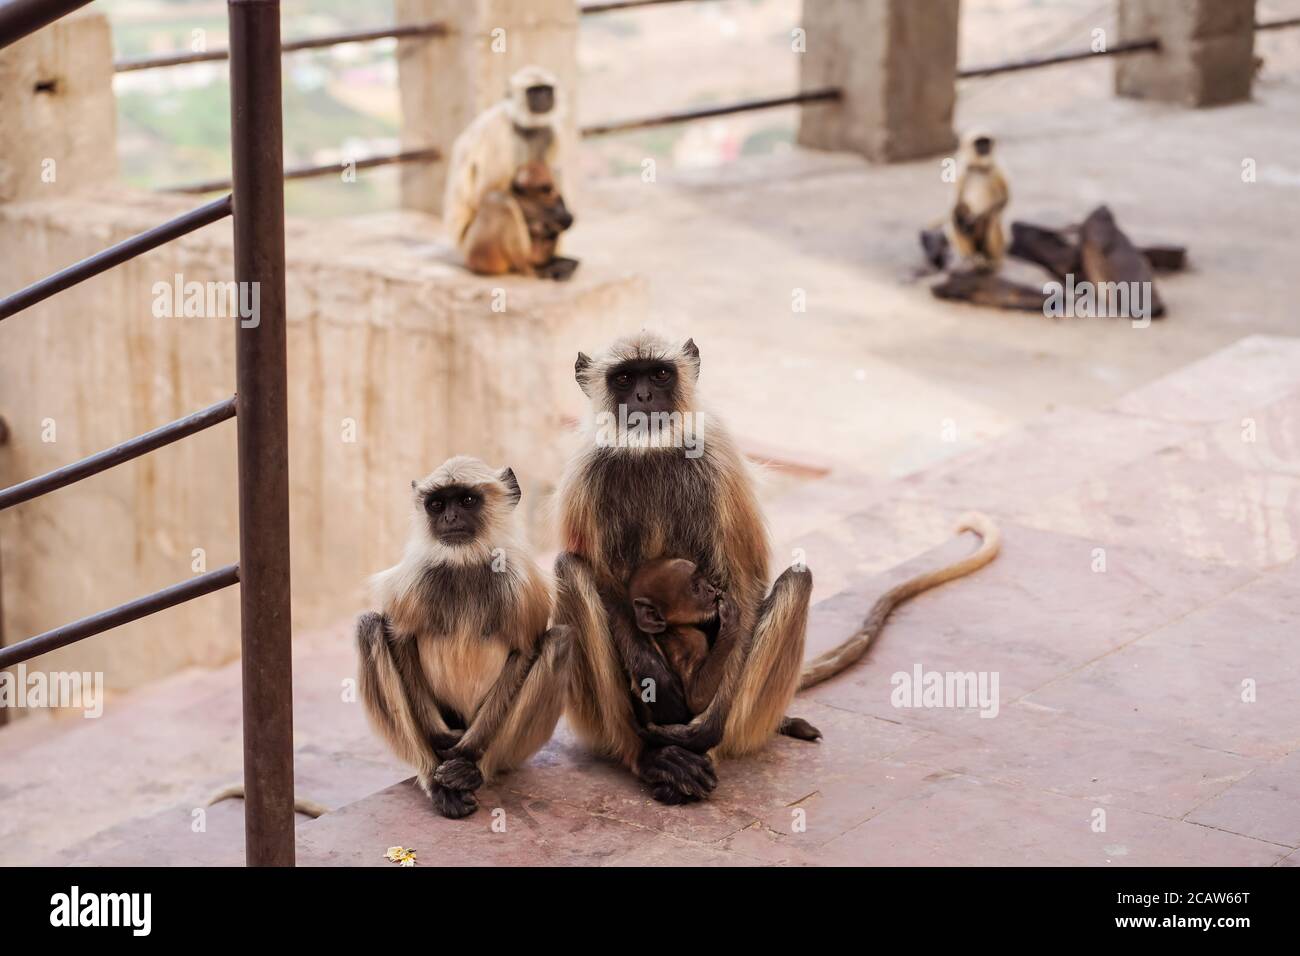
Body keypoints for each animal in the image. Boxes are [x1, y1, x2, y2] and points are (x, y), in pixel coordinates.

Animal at [353, 460, 572, 816]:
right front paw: (440, 738)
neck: (465, 563)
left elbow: (525, 651)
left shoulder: (522, 583)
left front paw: (467, 751)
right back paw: (433, 777)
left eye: (467, 500)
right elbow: (399, 638)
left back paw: (473, 770)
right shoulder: (415, 577)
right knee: (368, 626)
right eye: (437, 504)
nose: (450, 518)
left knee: (559, 641)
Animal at [951, 130, 1008, 273]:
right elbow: (956, 205)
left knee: (992, 219)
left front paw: (975, 220)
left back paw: (991, 261)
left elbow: (1004, 200)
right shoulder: (962, 174)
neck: (979, 168)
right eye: (979, 143)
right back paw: (970, 259)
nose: (984, 147)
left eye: (986, 141)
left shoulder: (996, 171)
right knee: (956, 217)